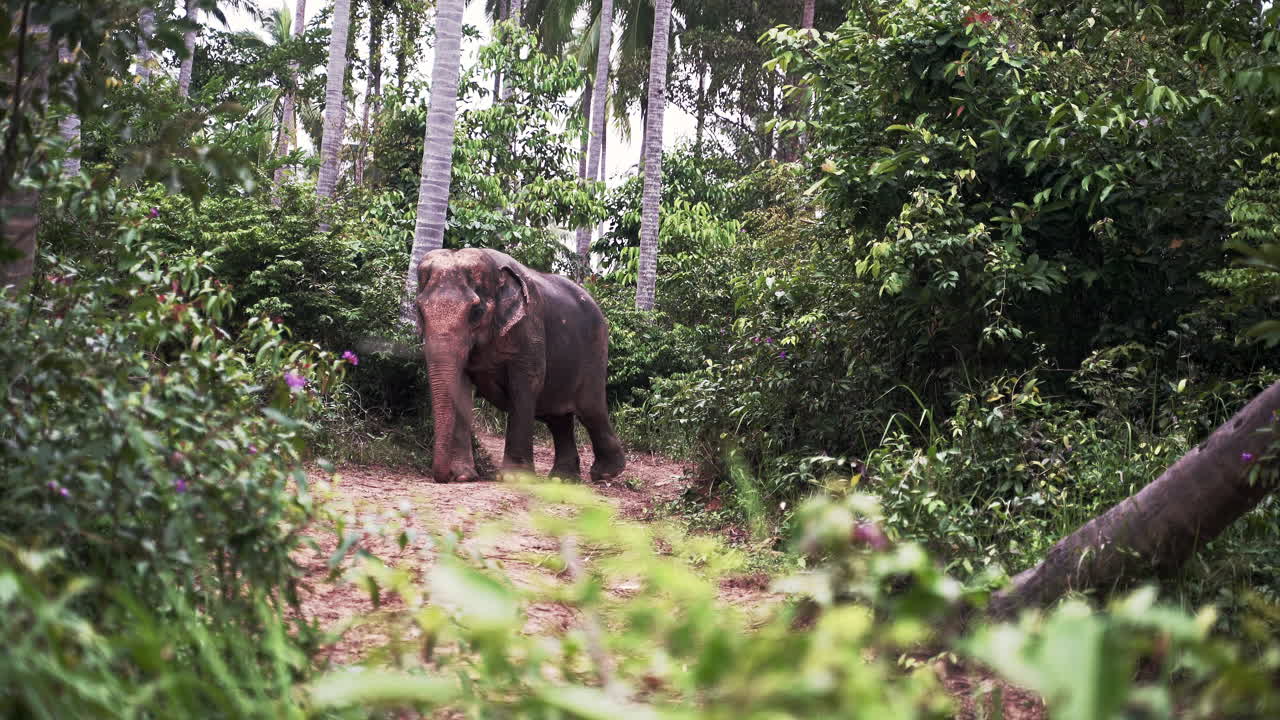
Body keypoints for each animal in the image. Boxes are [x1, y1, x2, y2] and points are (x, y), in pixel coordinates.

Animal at [413, 248, 626, 484]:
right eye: (418, 310)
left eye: (476, 311)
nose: (443, 477)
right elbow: (460, 387)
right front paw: (463, 476)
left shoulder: (529, 326)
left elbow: (526, 383)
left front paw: (515, 478)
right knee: (558, 417)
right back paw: (562, 479)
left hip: (595, 351)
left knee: (590, 410)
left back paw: (605, 473)